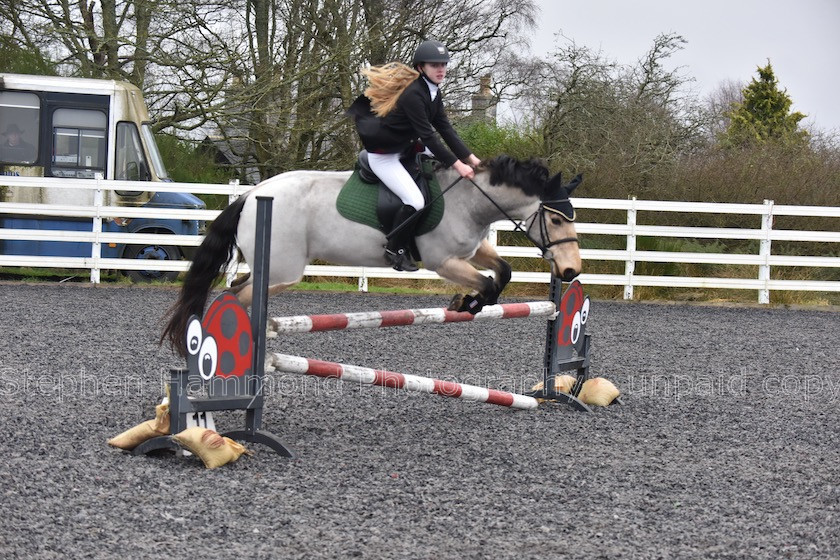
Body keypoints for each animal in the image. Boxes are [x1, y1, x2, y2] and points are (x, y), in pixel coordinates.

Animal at [164, 154, 584, 354]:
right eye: (556, 219)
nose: (570, 272)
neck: (470, 202)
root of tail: (252, 194)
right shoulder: (443, 261)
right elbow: (487, 282)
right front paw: (468, 302)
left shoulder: (472, 250)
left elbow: (503, 271)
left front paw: (466, 301)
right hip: (282, 273)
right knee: (236, 298)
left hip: (271, 271)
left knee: (235, 291)